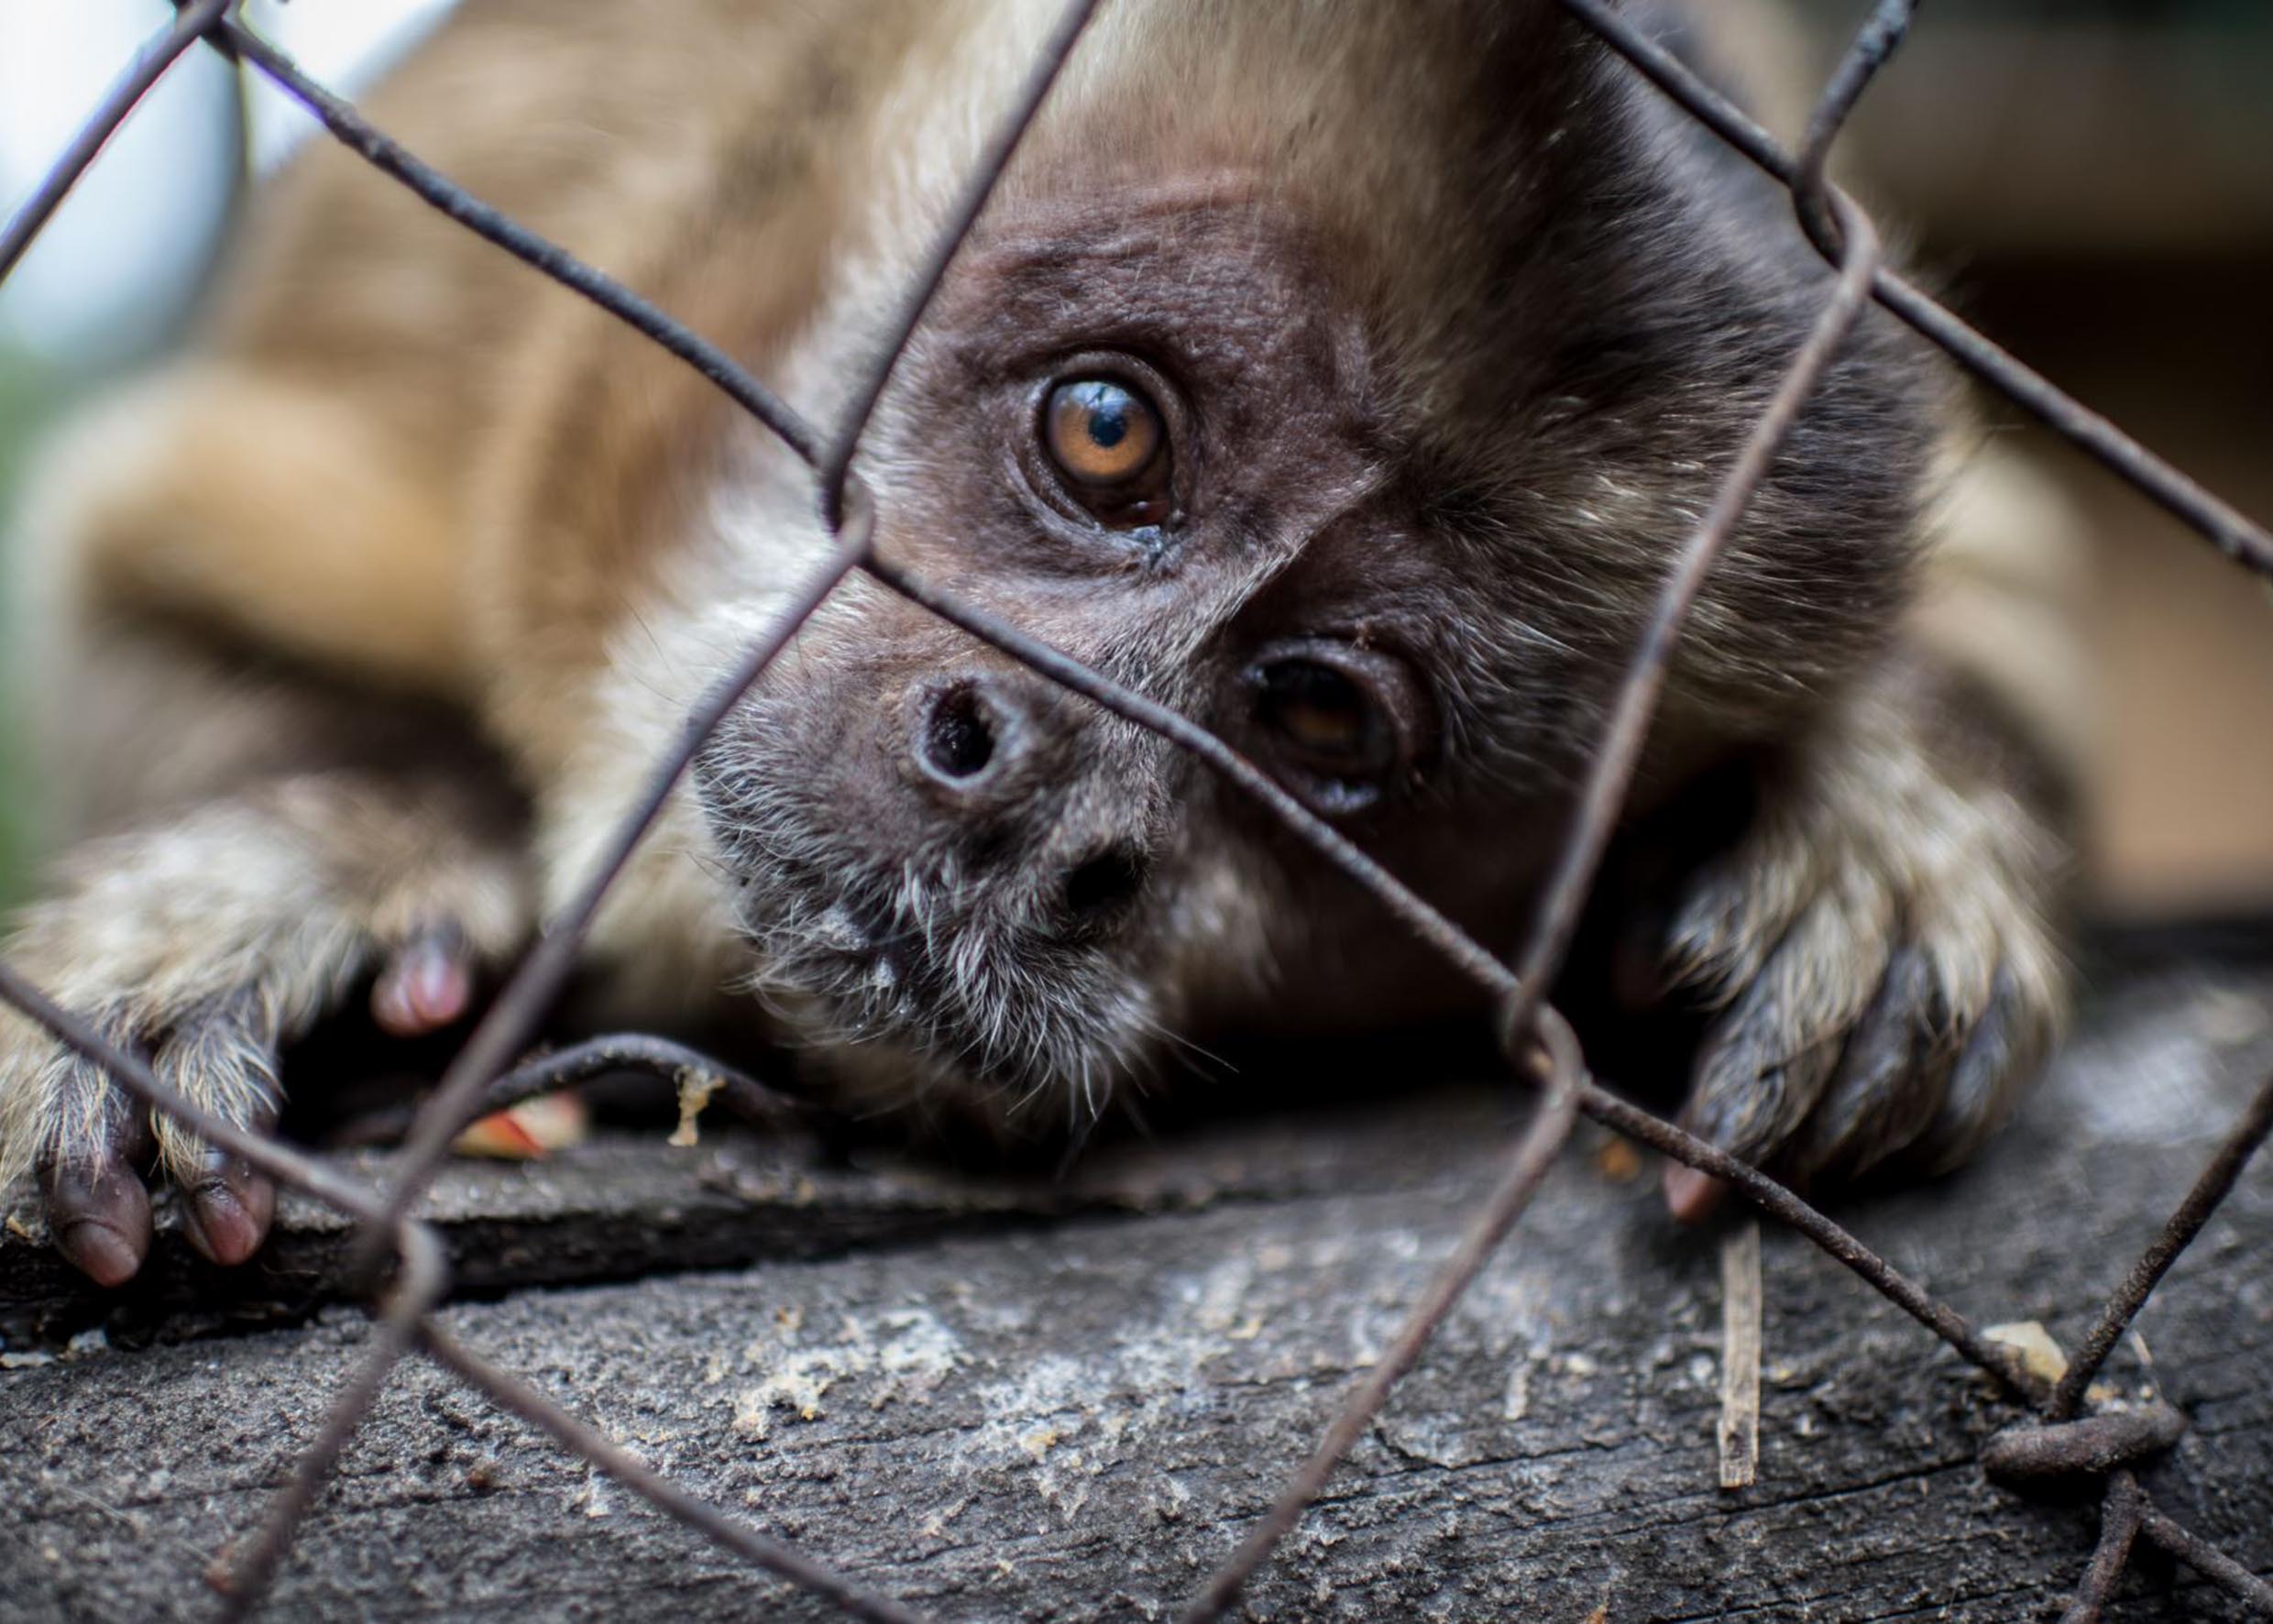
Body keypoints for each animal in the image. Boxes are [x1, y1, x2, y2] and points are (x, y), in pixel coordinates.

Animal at [0, 3, 2081, 1299]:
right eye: (1105, 434)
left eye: (1323, 714)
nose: (1054, 809)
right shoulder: (459, 296)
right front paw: (322, 858)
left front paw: (1878, 832)